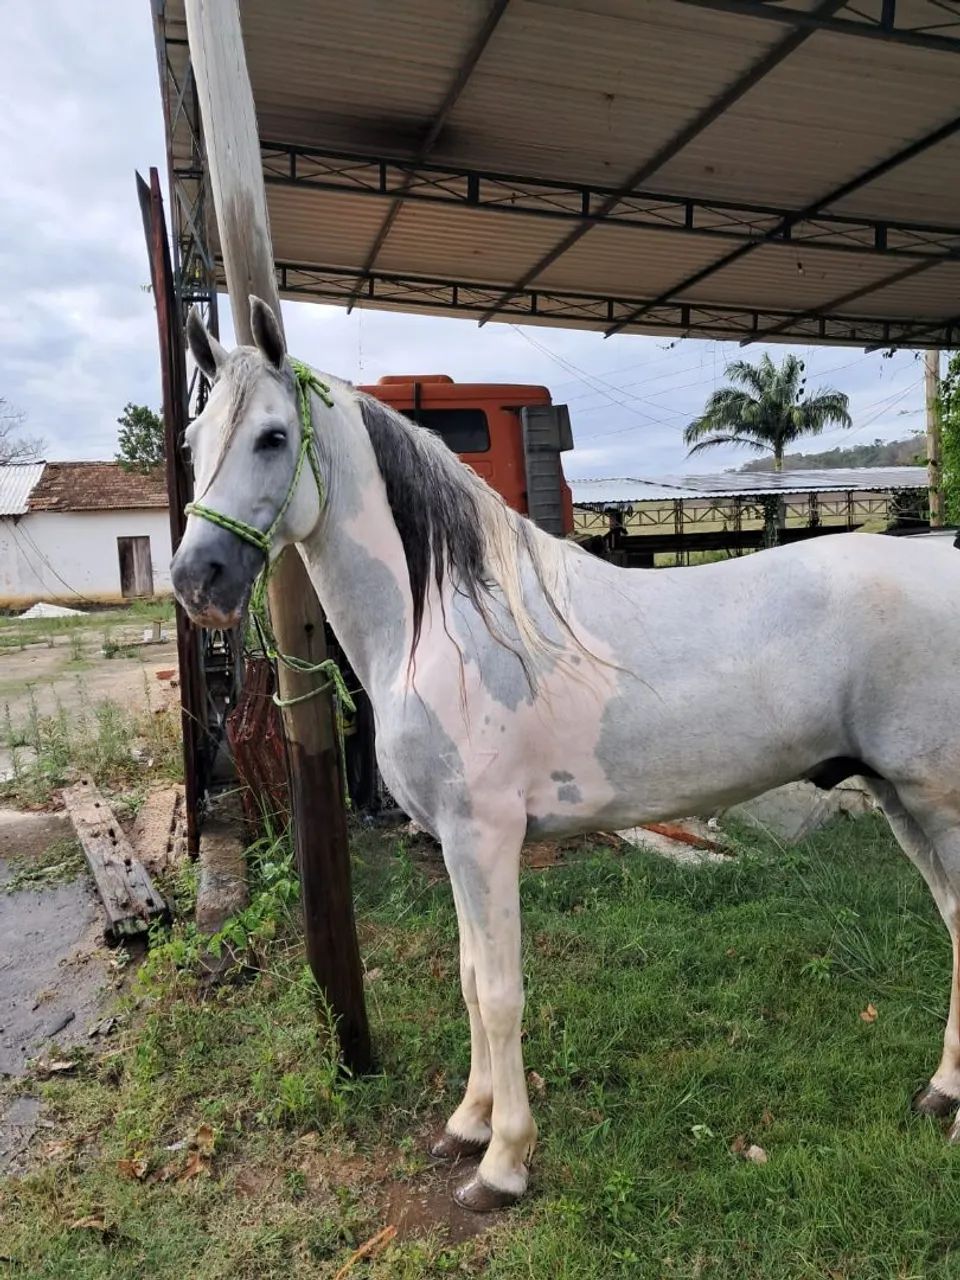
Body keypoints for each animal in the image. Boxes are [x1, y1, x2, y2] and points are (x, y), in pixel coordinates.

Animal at [173, 297, 960, 1212]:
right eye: (193, 440)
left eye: (271, 436)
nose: (198, 581)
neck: (445, 624)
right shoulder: (454, 844)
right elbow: (470, 978)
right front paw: (467, 1124)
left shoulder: (486, 840)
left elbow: (500, 994)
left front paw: (503, 1164)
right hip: (900, 799)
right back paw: (940, 1091)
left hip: (935, 801)